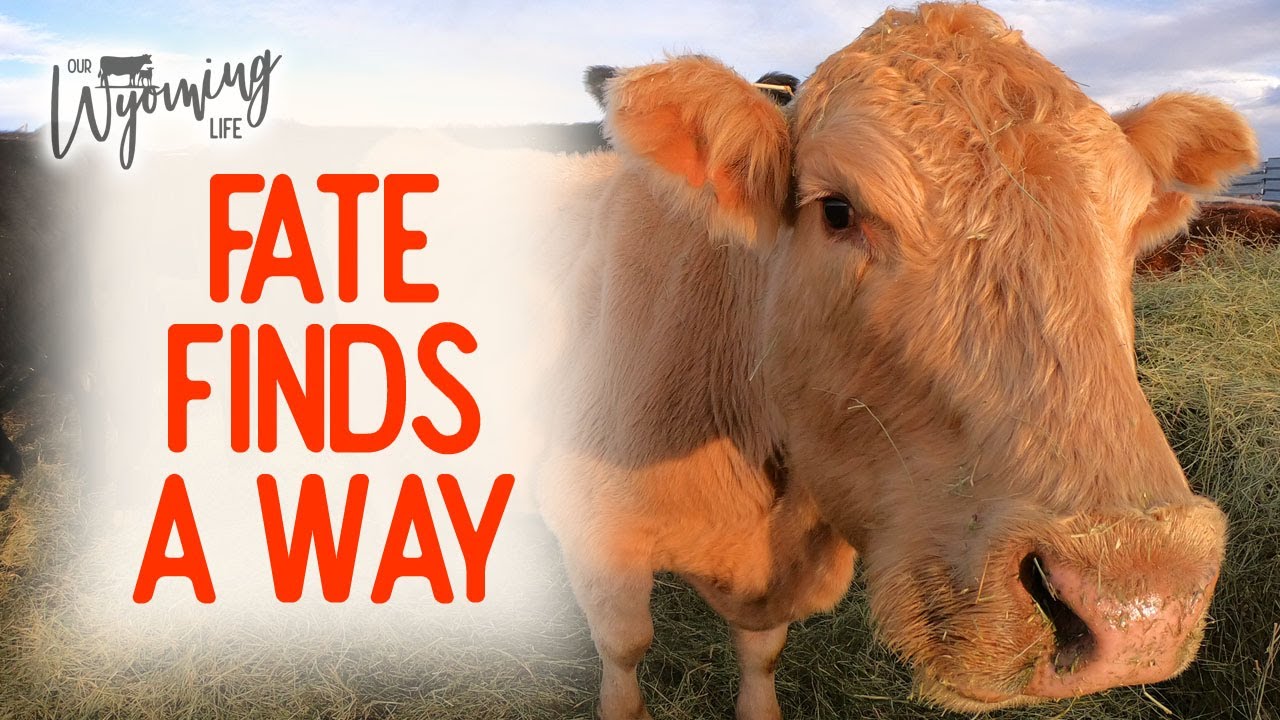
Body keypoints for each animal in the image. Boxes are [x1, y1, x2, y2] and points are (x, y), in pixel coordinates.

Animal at [536, 4, 1258, 719]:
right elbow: (625, 653)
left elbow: (761, 654)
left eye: (1135, 224)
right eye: (837, 210)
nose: (1139, 591)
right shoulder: (597, 537)